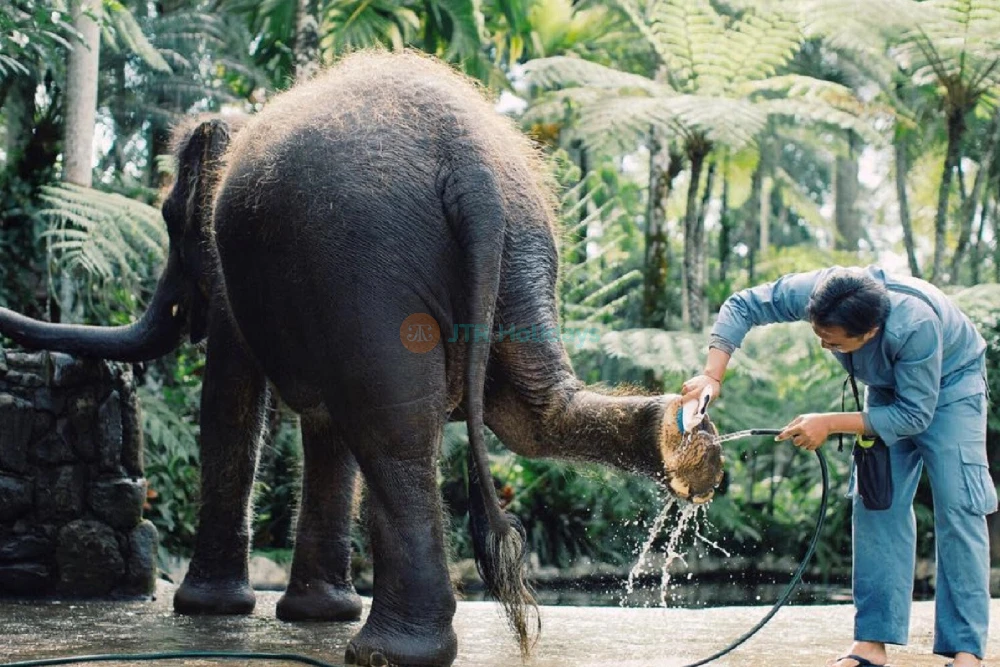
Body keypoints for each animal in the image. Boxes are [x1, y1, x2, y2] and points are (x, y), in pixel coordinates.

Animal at [0, 50, 724, 667]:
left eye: (170, 220)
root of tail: (470, 166)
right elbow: (320, 423)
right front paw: (315, 614)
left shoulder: (235, 272)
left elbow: (231, 404)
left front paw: (208, 609)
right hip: (521, 251)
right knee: (526, 412)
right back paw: (684, 440)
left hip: (368, 264)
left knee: (392, 432)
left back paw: (386, 653)